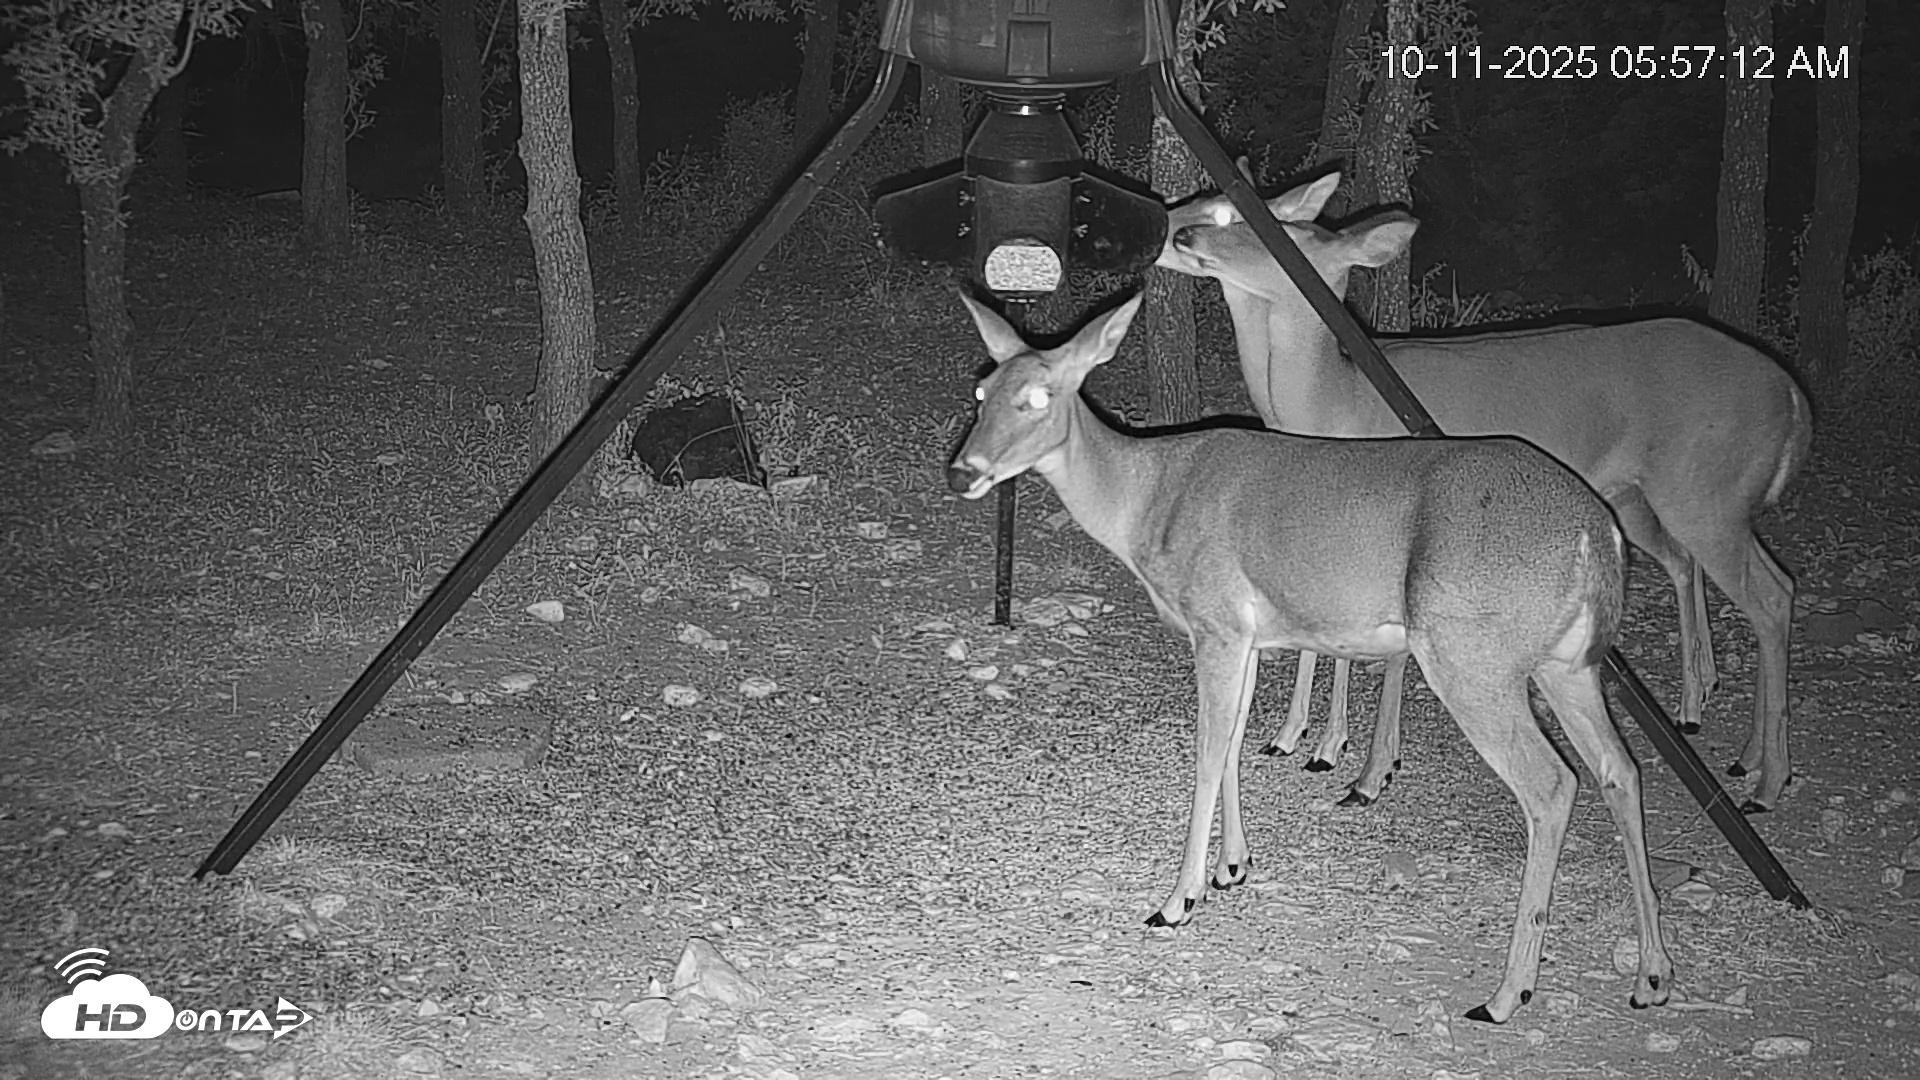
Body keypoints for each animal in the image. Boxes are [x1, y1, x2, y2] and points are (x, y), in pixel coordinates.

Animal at [946, 290, 1673, 1024]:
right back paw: (1652, 976)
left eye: (1039, 398)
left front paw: (1177, 902)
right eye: (980, 390)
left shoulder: (1214, 619)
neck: (1147, 498)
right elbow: (1235, 743)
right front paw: (1232, 868)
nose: (962, 472)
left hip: (1471, 655)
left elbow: (1207, 752)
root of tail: (1598, 532)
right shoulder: (1248, 637)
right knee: (1620, 769)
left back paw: (1505, 995)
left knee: (1551, 785)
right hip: (1567, 665)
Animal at [1158, 170, 1811, 813]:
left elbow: (1386, 653)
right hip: (1644, 499)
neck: (1334, 404)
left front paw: (1363, 768)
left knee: (1770, 593)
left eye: (1246, 221)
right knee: (1700, 568)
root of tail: (1792, 395)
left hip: (1705, 492)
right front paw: (1298, 739)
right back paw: (1726, 735)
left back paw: (1765, 779)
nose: (1177, 230)